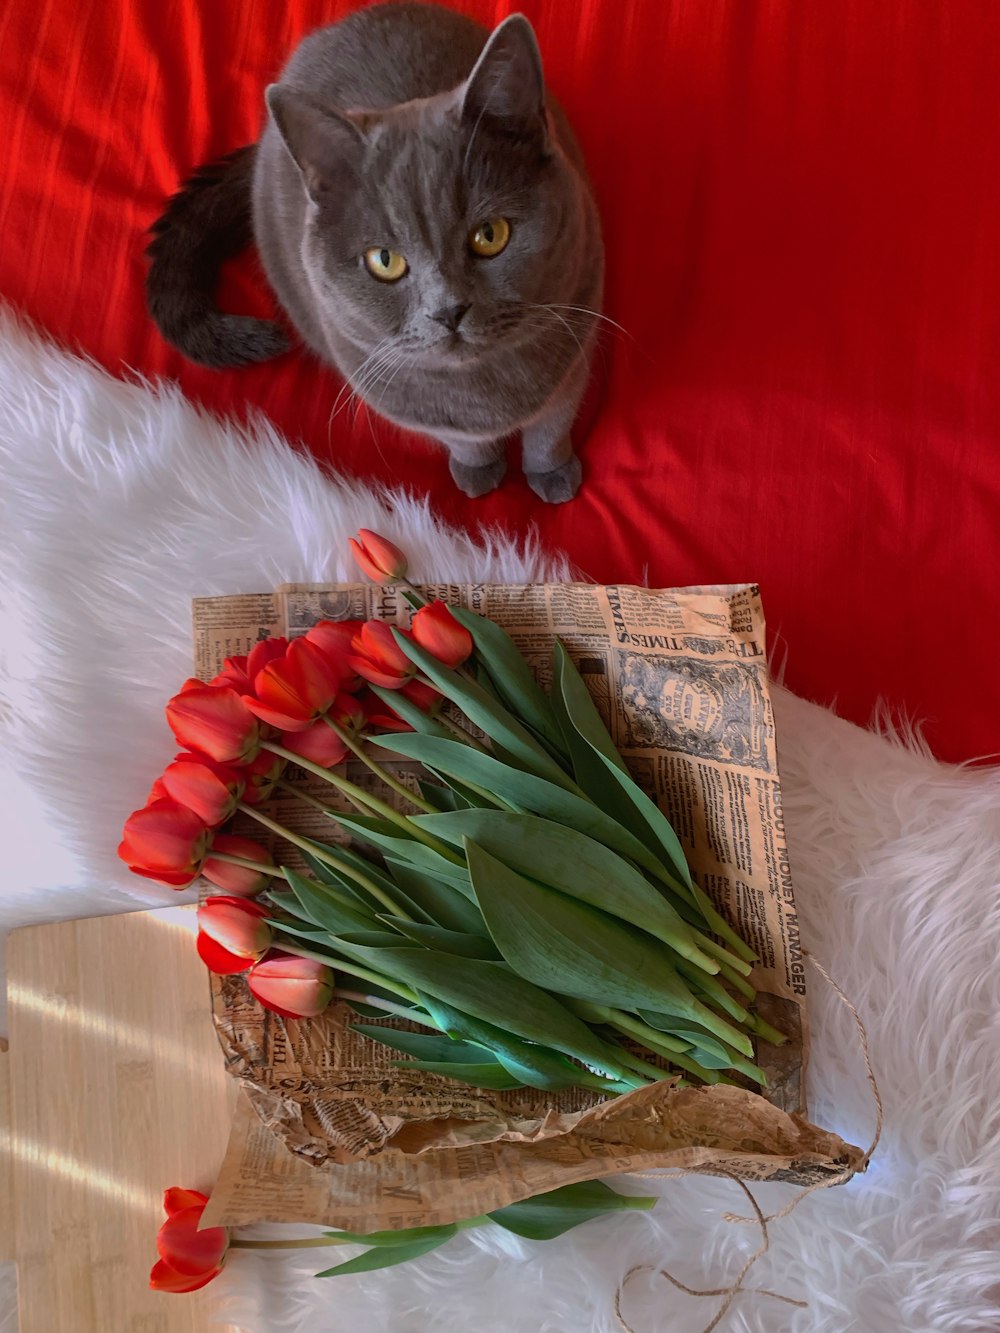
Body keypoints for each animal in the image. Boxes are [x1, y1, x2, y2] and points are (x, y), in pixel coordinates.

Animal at [146, 3, 602, 503]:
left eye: (490, 234)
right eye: (385, 261)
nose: (448, 311)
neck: (487, 393)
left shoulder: (577, 352)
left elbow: (550, 429)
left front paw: (552, 474)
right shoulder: (401, 400)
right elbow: (463, 440)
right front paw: (478, 469)